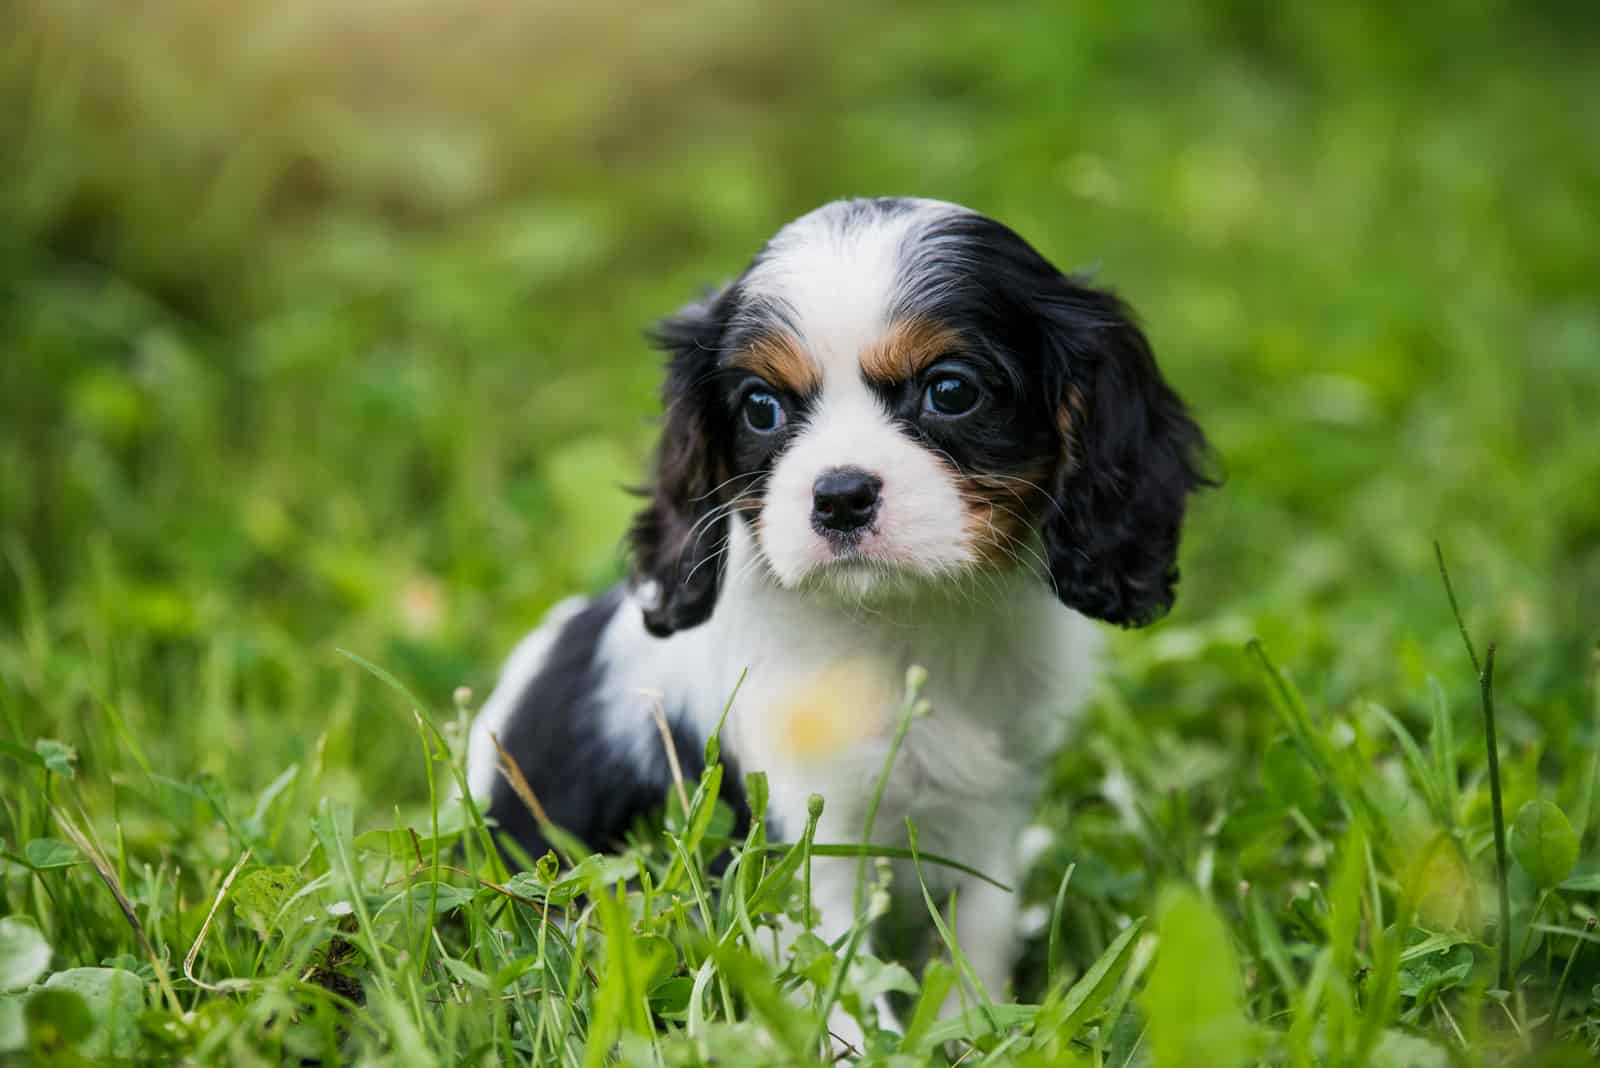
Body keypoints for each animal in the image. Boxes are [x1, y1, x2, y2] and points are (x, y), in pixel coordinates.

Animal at [460, 194, 1203, 1036]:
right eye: (760, 407)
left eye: (951, 391)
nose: (840, 494)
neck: (902, 623)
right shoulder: (799, 818)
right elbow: (833, 967)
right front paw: (865, 1042)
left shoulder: (991, 810)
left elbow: (976, 930)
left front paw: (973, 1023)